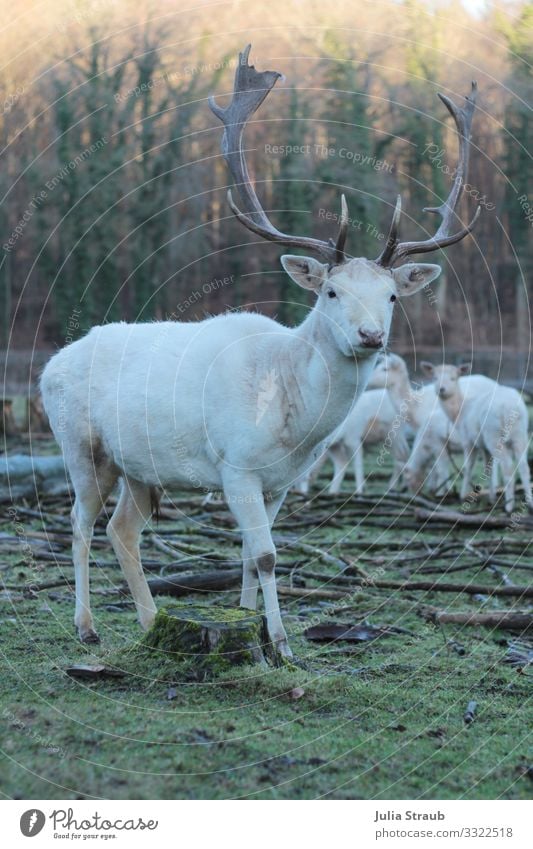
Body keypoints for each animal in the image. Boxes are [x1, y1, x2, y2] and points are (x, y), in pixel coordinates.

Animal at [39, 44, 480, 656]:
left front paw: (254, 630)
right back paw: (87, 626)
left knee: (120, 528)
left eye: (392, 296)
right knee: (80, 525)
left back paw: (151, 623)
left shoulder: (282, 481)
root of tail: (49, 365)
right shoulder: (236, 465)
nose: (371, 336)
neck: (294, 425)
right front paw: (284, 644)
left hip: (141, 467)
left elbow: (253, 554)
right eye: (330, 291)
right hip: (80, 445)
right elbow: (268, 554)